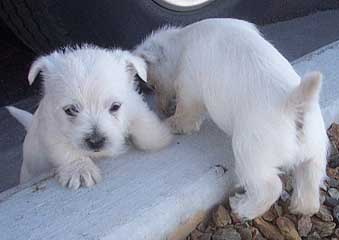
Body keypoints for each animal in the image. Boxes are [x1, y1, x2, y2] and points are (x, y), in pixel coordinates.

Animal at [7, 45, 173, 189]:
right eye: (70, 110)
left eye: (115, 106)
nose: (96, 141)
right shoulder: (51, 128)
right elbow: (64, 149)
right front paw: (80, 169)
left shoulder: (133, 103)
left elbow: (143, 124)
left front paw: (160, 136)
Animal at [135, 18, 330, 219]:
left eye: (152, 86)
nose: (161, 109)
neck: (182, 41)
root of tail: (294, 103)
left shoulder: (190, 87)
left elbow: (186, 112)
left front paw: (172, 123)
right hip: (315, 150)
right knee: (310, 179)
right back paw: (301, 207)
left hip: (249, 151)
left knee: (269, 187)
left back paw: (241, 208)